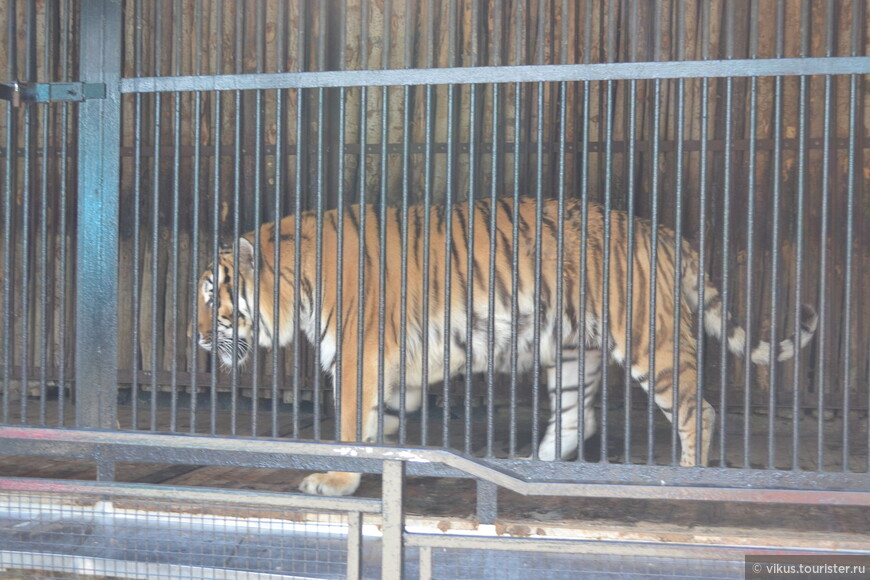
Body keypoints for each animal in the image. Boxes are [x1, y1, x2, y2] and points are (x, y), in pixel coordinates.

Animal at [194, 197, 820, 496]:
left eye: (212, 296)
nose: (195, 338)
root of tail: (665, 234)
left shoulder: (356, 358)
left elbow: (350, 429)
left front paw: (335, 481)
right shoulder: (397, 371)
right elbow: (381, 426)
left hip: (653, 343)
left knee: (699, 411)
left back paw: (684, 477)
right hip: (573, 353)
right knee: (578, 419)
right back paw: (530, 468)